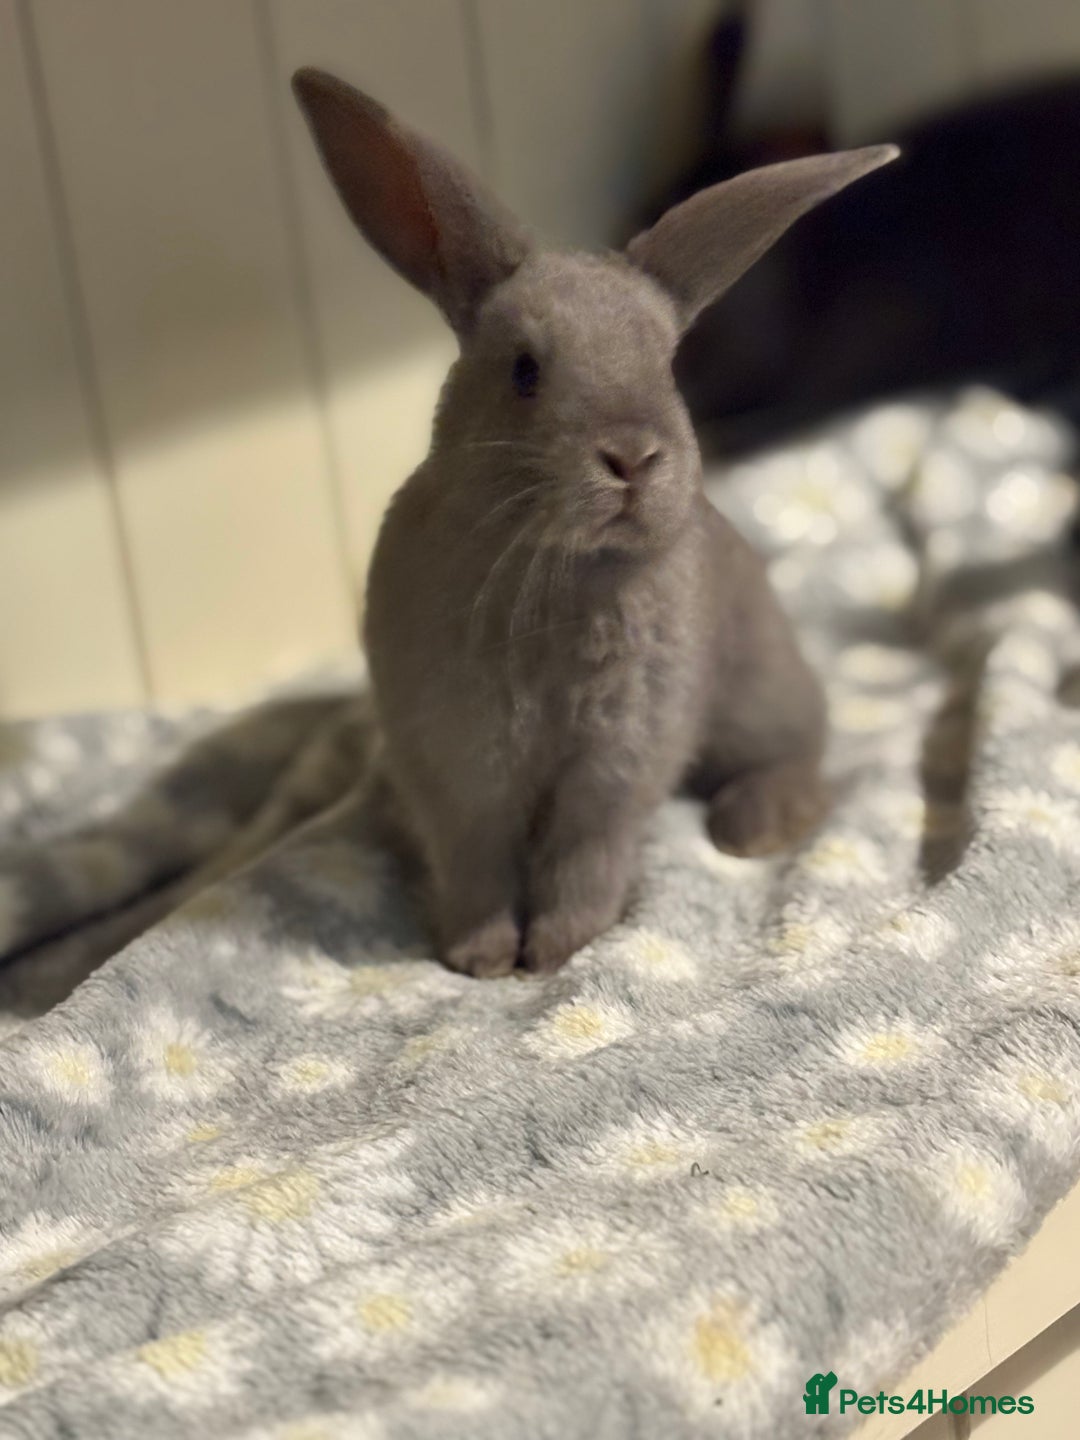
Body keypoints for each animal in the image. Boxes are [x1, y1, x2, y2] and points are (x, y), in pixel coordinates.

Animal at [292, 68, 895, 978]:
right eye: (525, 371)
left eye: (666, 366)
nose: (633, 458)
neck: (556, 572)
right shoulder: (455, 763)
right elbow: (476, 856)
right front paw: (479, 956)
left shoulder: (617, 758)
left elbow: (585, 850)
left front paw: (559, 948)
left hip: (759, 689)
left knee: (798, 748)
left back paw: (754, 827)